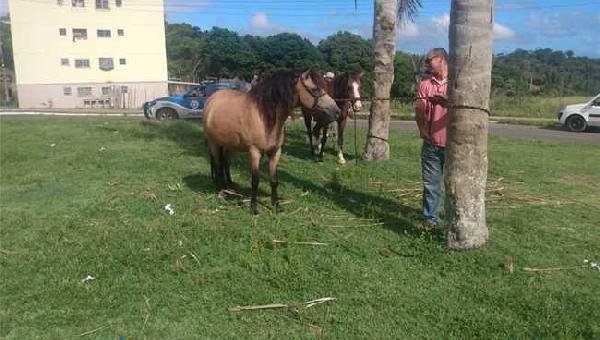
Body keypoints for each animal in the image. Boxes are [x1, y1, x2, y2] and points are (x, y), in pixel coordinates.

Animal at [203, 69, 340, 215]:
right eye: (315, 89)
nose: (337, 111)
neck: (264, 117)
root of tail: (212, 99)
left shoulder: (275, 152)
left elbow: (274, 180)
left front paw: (277, 205)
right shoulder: (255, 152)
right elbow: (255, 181)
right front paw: (254, 208)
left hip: (228, 145)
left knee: (225, 163)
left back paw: (229, 186)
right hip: (214, 144)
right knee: (218, 166)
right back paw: (221, 191)